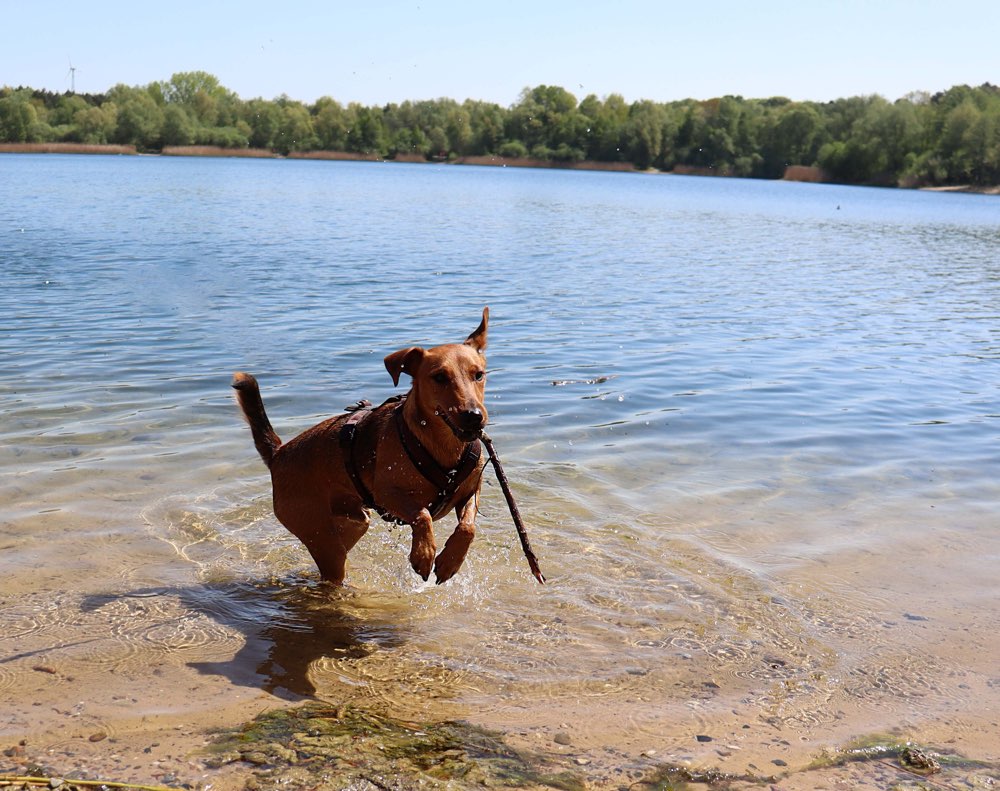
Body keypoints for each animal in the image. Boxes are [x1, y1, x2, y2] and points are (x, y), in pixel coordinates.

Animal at [230, 306, 488, 584]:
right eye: (439, 377)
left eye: (479, 375)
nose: (474, 416)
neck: (445, 446)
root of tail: (278, 453)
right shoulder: (387, 494)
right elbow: (422, 515)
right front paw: (424, 553)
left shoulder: (470, 491)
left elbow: (468, 527)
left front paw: (451, 561)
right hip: (321, 537)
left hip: (353, 523)